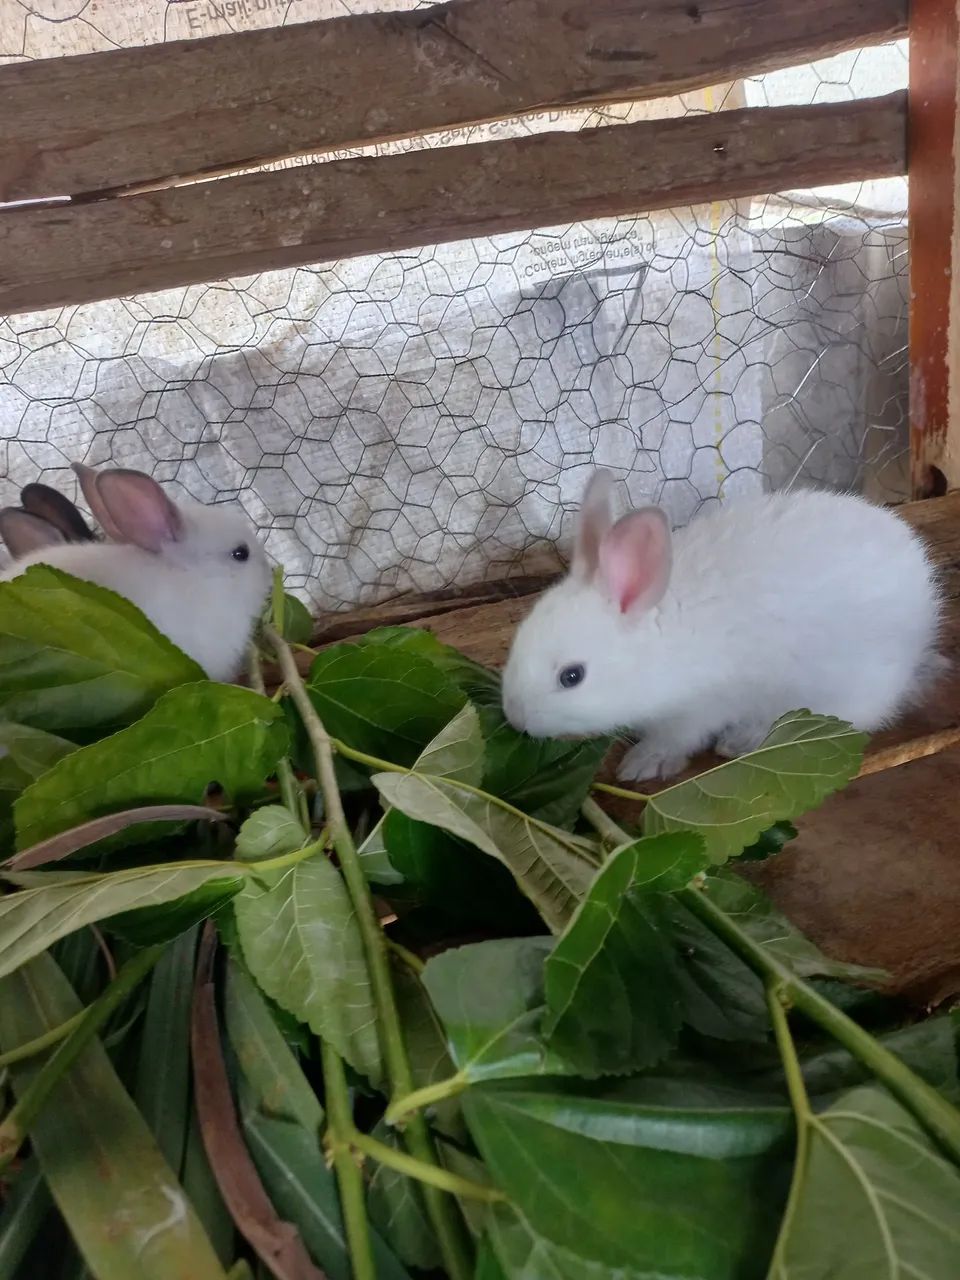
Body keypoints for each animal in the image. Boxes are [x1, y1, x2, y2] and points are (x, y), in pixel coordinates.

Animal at [501, 470, 945, 782]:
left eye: (572, 676)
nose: (516, 719)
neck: (660, 648)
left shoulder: (696, 711)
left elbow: (674, 740)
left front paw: (641, 765)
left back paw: (741, 740)